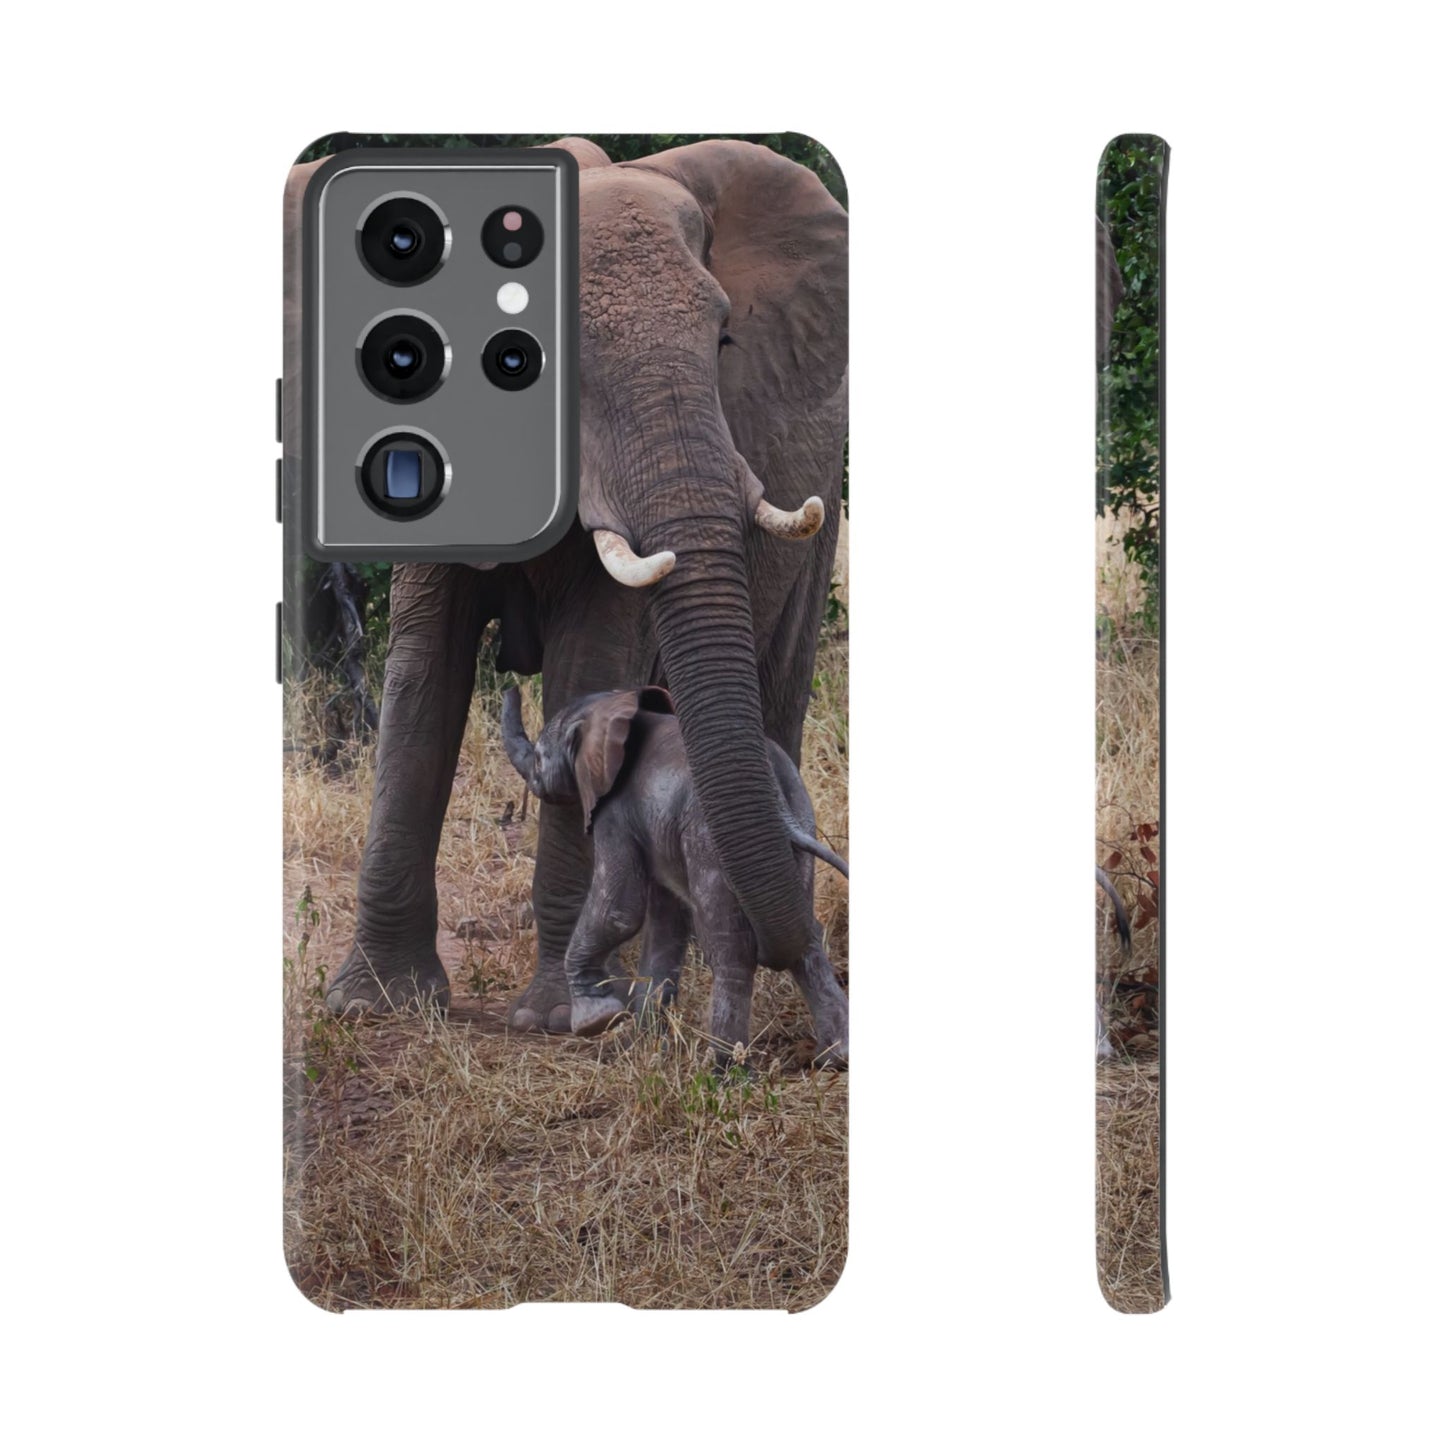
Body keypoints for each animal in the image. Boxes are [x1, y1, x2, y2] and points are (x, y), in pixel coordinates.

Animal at [499, 685, 848, 1061]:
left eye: (538, 759)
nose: (510, 687)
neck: (615, 708)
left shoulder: (615, 811)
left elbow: (619, 912)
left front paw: (597, 1019)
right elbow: (664, 923)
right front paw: (643, 1047)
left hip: (707, 838)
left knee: (730, 945)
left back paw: (725, 1066)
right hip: (801, 817)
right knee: (806, 935)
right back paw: (835, 1057)